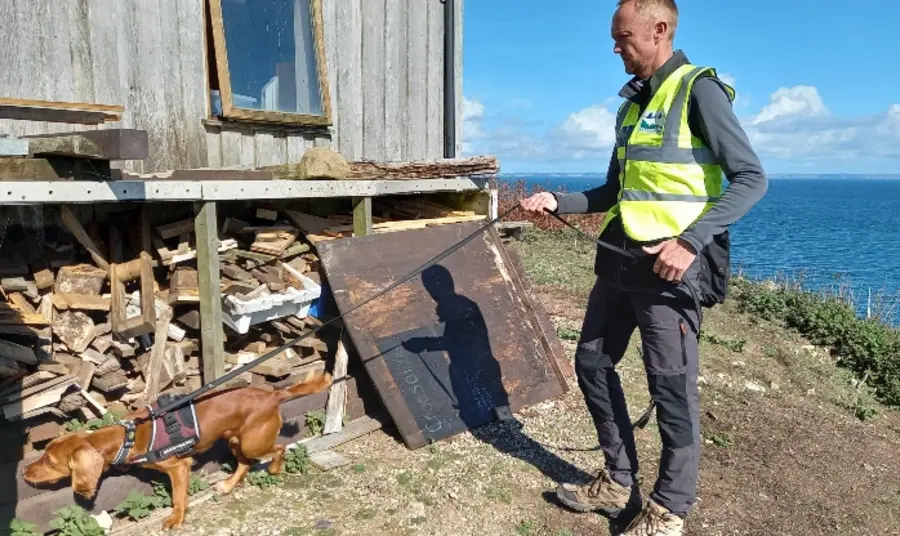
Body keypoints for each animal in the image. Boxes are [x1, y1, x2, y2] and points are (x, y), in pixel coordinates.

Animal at [22, 370, 332, 528]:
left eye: (49, 461)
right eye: (45, 453)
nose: (24, 472)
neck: (127, 435)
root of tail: (273, 394)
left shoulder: (178, 467)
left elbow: (178, 498)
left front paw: (175, 519)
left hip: (253, 441)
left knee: (279, 448)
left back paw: (276, 469)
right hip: (235, 439)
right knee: (245, 463)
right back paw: (227, 486)